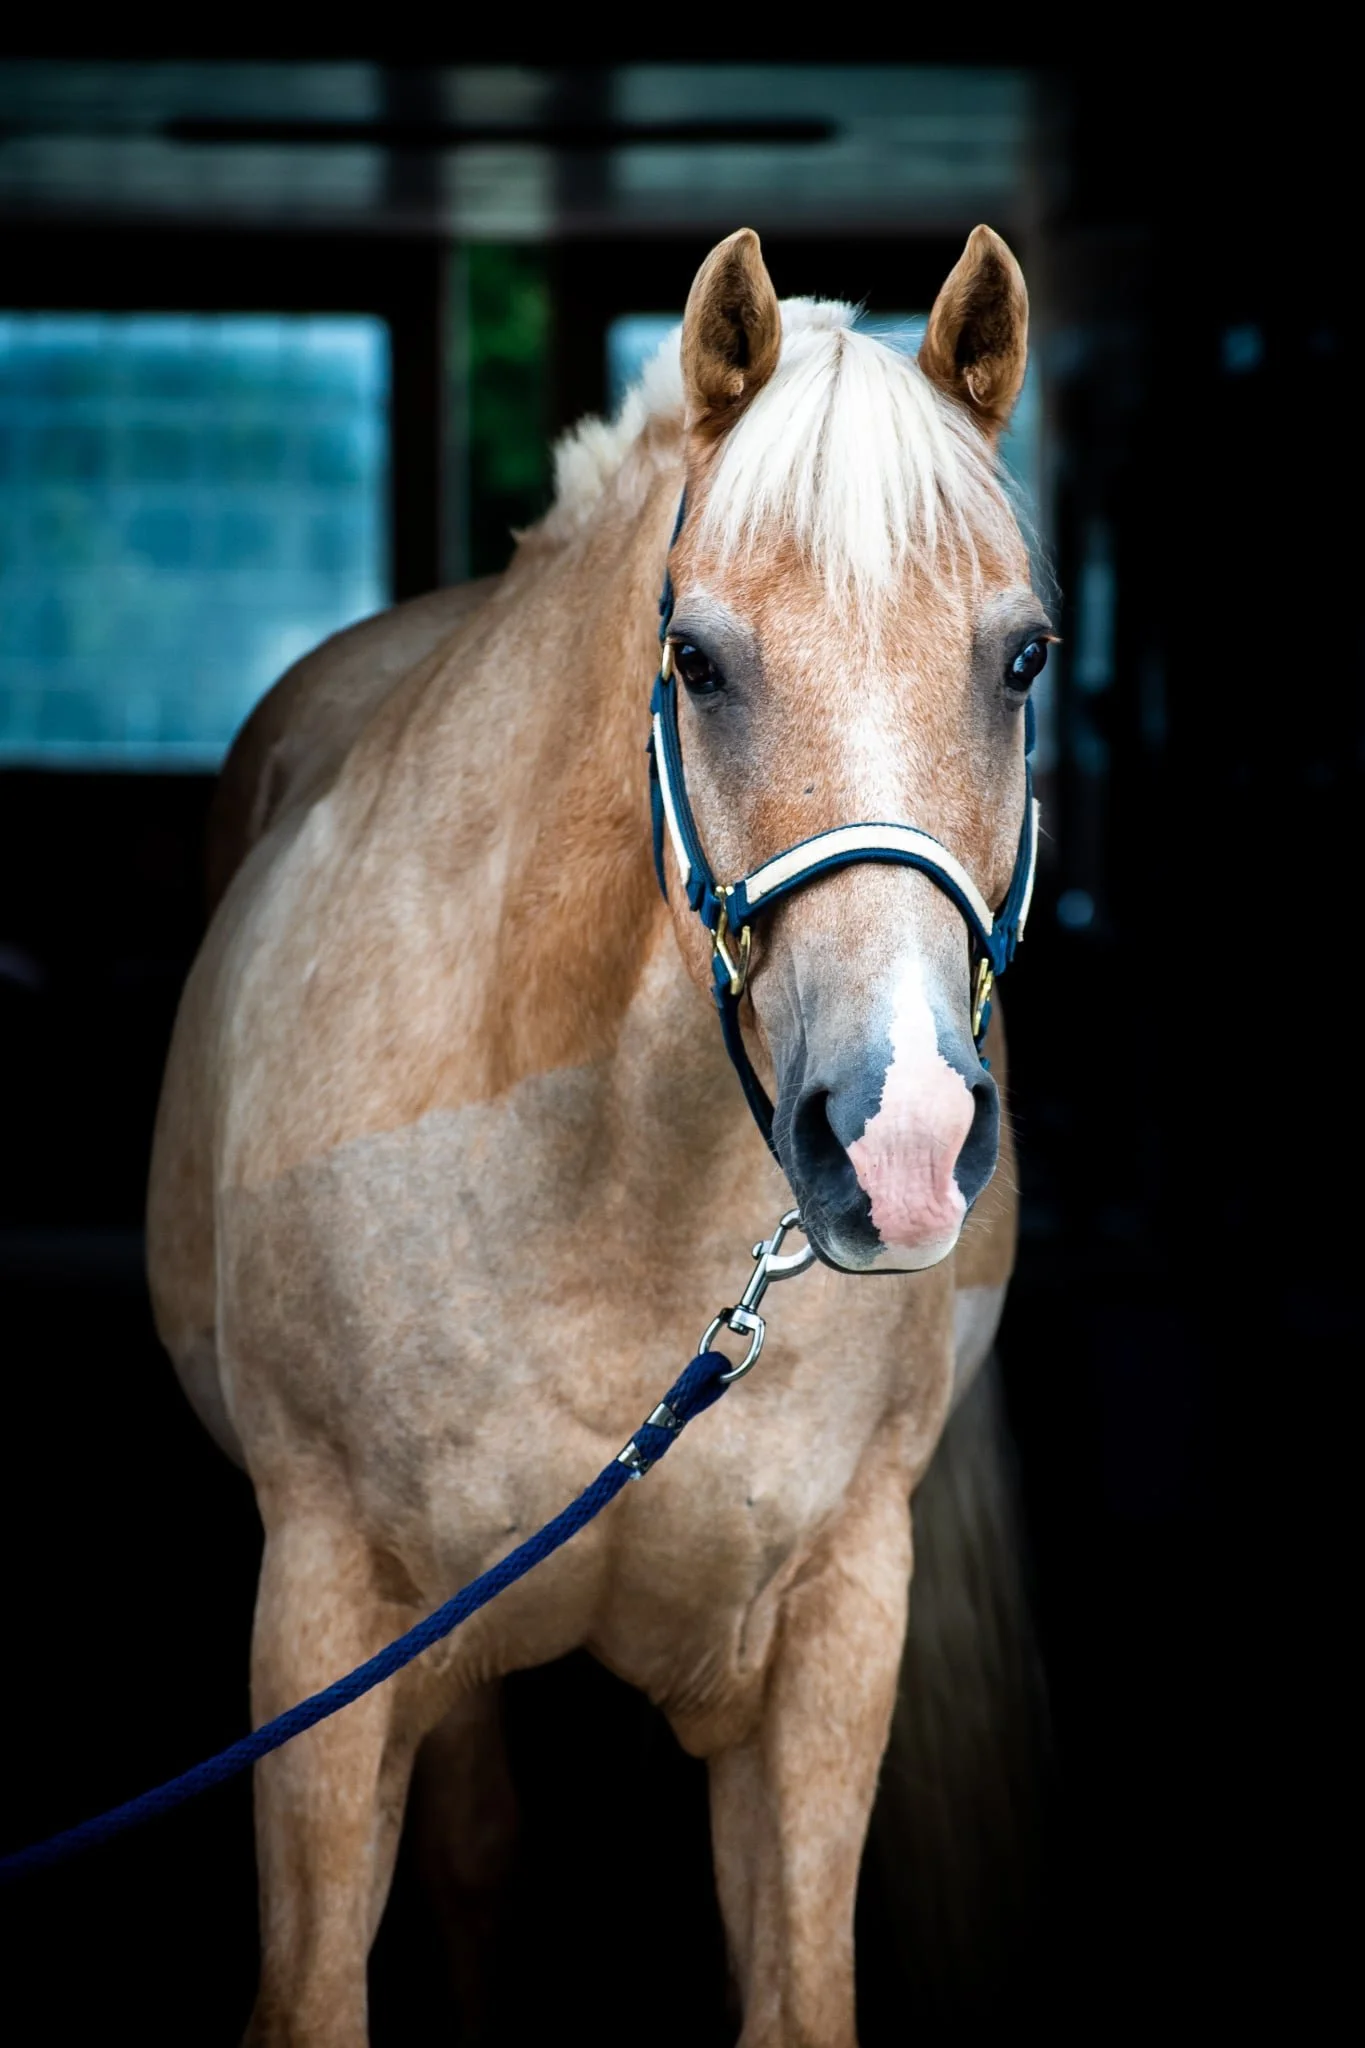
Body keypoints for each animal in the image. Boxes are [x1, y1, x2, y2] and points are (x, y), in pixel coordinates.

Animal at [147, 223, 1049, 2046]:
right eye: (695, 656)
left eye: (1024, 658)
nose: (901, 1137)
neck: (614, 1194)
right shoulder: (324, 1637)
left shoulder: (836, 1628)